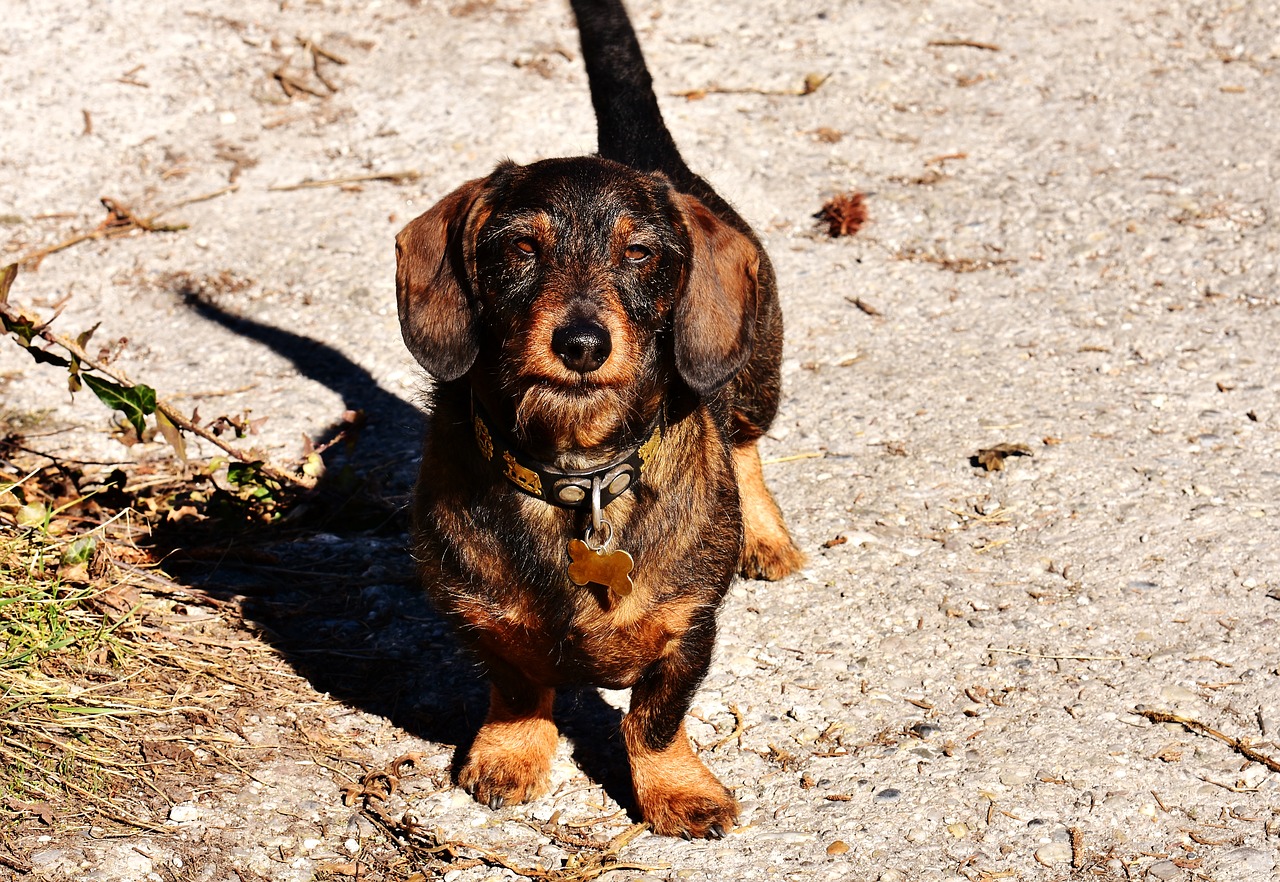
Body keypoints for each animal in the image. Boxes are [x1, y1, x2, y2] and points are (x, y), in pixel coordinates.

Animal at [394, 0, 803, 839]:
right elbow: (518, 685)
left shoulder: (689, 627)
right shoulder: (475, 614)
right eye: (520, 247)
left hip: (756, 374)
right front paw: (511, 754)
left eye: (641, 254)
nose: (580, 344)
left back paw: (764, 534)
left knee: (744, 446)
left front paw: (678, 791)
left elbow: (655, 718)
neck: (575, 471)